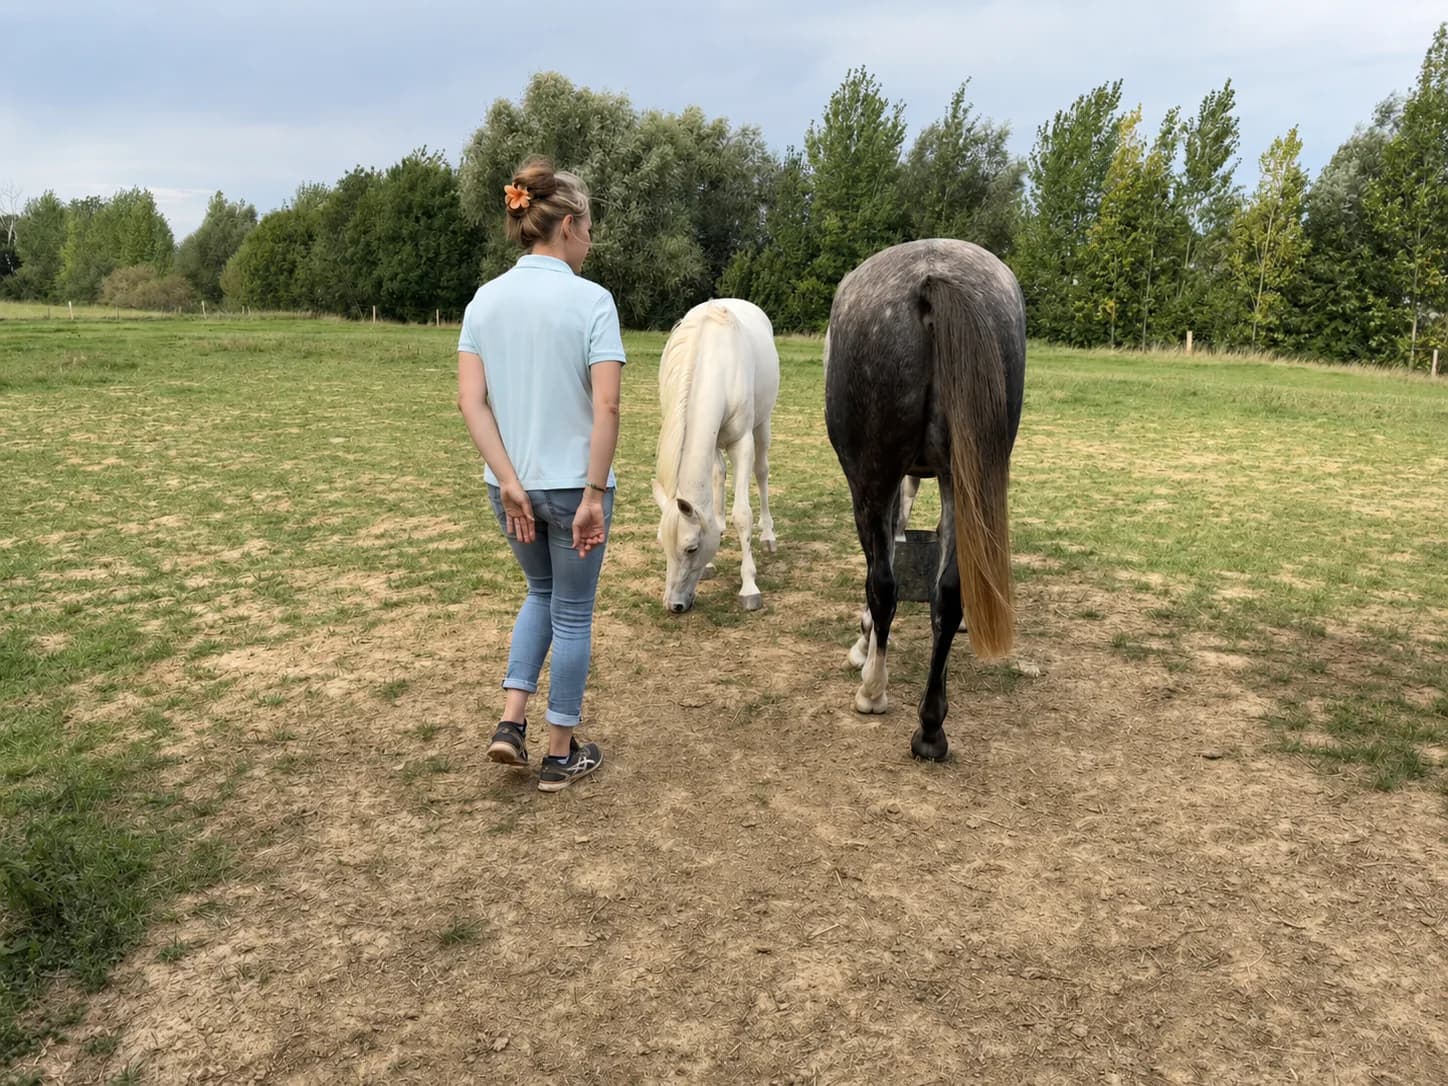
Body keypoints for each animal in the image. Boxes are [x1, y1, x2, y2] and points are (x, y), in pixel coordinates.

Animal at [652, 298, 780, 613]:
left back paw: (768, 536)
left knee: (761, 472)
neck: (715, 366)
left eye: (691, 548)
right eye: (662, 545)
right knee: (719, 474)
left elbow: (743, 515)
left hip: (763, 425)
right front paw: (712, 558)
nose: (674, 605)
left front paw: (749, 588)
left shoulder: (742, 442)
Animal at [824, 239, 1025, 761]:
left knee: (883, 584)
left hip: (871, 479)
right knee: (949, 593)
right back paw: (931, 729)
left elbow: (886, 561)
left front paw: (863, 647)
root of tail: (931, 279)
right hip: (962, 480)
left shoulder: (887, 486)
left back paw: (873, 691)